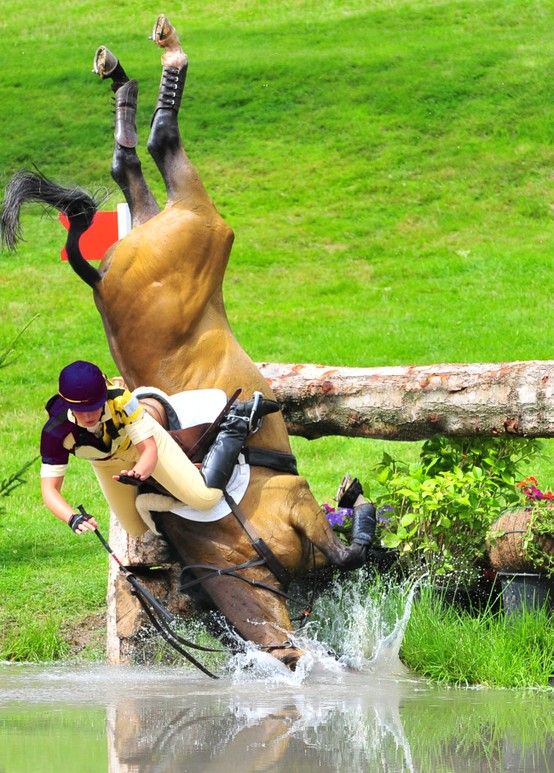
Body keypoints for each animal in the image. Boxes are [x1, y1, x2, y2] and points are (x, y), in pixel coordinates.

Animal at [1, 16, 375, 669]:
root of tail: (101, 277)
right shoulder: (297, 508)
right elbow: (344, 551)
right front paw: (361, 508)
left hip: (169, 229)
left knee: (131, 168)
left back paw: (123, 77)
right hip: (202, 232)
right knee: (156, 148)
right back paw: (158, 65)